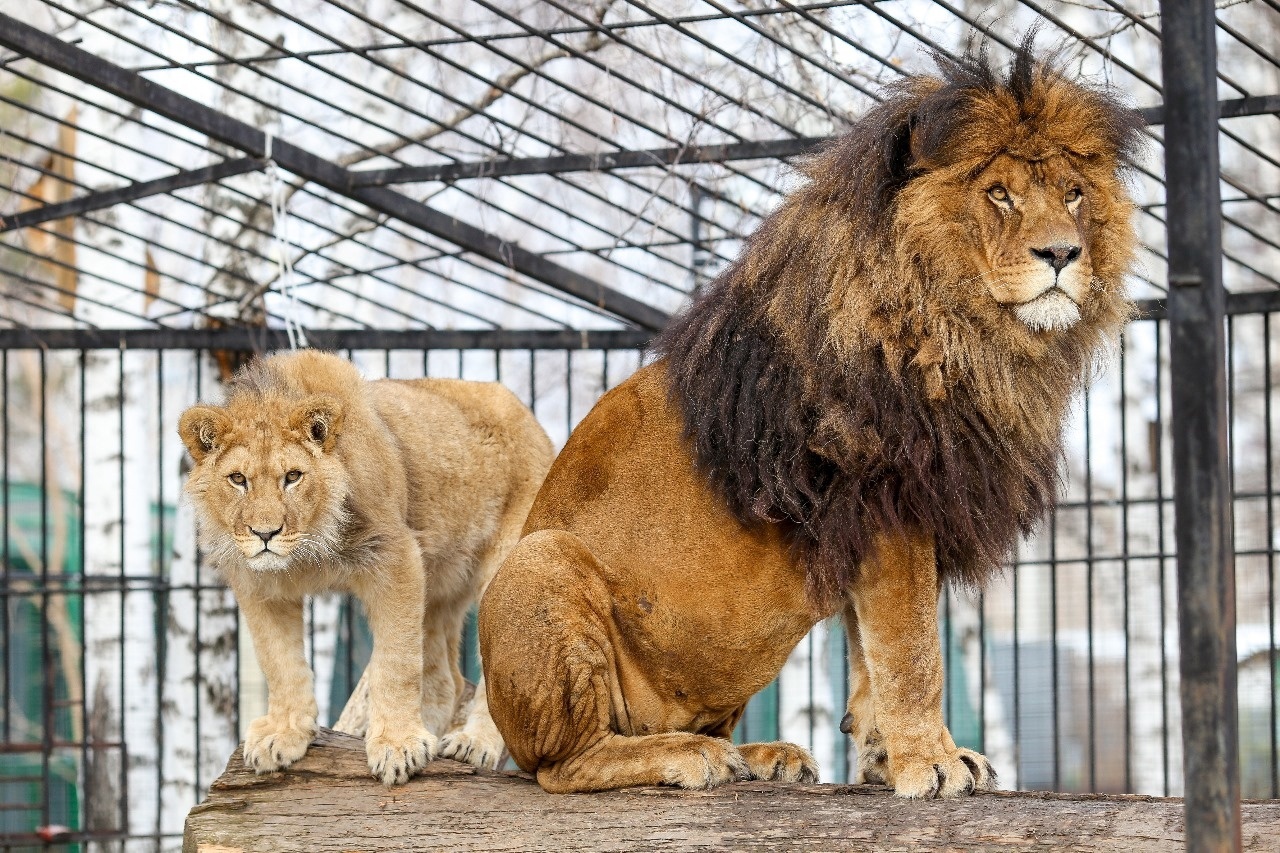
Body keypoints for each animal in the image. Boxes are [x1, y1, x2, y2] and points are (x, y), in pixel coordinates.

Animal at [179, 348, 550, 778]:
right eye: (238, 479)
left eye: (293, 476)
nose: (265, 534)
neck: (308, 549)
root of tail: (533, 422)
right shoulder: (260, 587)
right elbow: (280, 664)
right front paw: (285, 734)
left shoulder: (396, 558)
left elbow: (397, 663)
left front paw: (399, 744)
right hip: (438, 582)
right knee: (447, 681)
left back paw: (473, 743)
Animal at [481, 43, 1141, 794]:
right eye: (999, 193)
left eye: (1073, 193)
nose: (1062, 253)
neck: (969, 334)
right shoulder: (885, 491)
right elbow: (912, 650)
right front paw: (933, 761)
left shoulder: (864, 516)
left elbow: (869, 652)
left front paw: (886, 758)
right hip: (540, 561)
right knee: (561, 765)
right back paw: (686, 755)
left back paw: (763, 756)